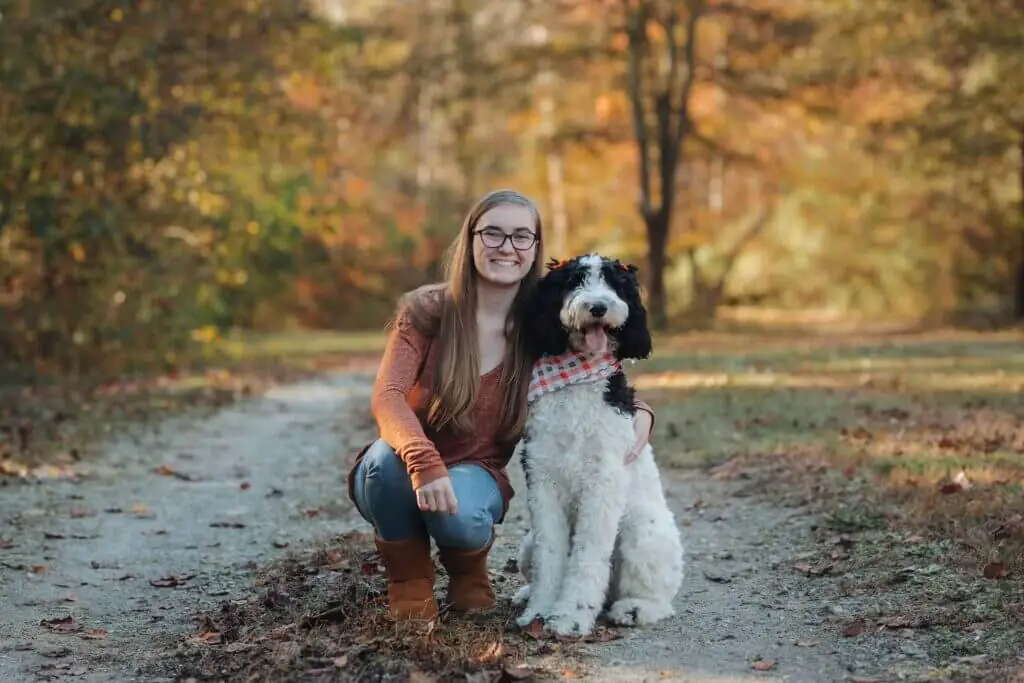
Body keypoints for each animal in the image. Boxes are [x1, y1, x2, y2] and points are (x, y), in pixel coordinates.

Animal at [509, 253, 679, 638]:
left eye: (616, 284)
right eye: (575, 281)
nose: (598, 307)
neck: (576, 375)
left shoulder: (603, 481)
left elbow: (587, 556)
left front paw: (569, 616)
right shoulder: (542, 477)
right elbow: (550, 555)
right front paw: (539, 610)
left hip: (642, 535)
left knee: (659, 598)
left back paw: (634, 608)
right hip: (526, 543)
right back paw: (525, 594)